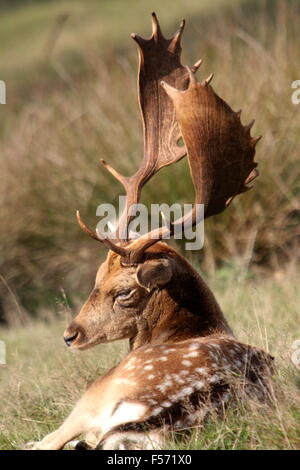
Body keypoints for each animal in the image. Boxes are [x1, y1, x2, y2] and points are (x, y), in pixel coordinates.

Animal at [25, 12, 274, 450]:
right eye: (96, 278)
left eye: (124, 292)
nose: (70, 335)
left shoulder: (88, 397)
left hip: (99, 396)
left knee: (49, 442)